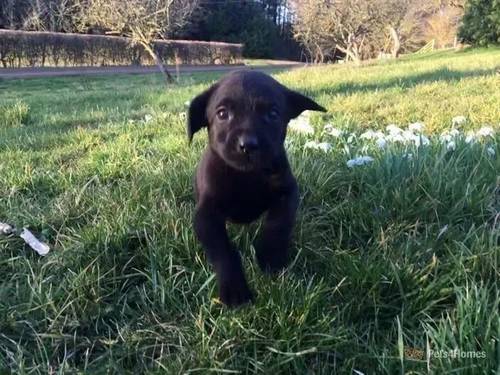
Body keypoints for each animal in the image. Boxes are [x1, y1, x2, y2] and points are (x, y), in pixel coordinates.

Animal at [187, 71, 324, 308]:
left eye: (273, 113)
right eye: (222, 114)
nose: (248, 144)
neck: (247, 176)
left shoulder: (287, 192)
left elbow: (278, 223)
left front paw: (270, 258)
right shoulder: (206, 214)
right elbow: (223, 250)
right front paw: (234, 289)